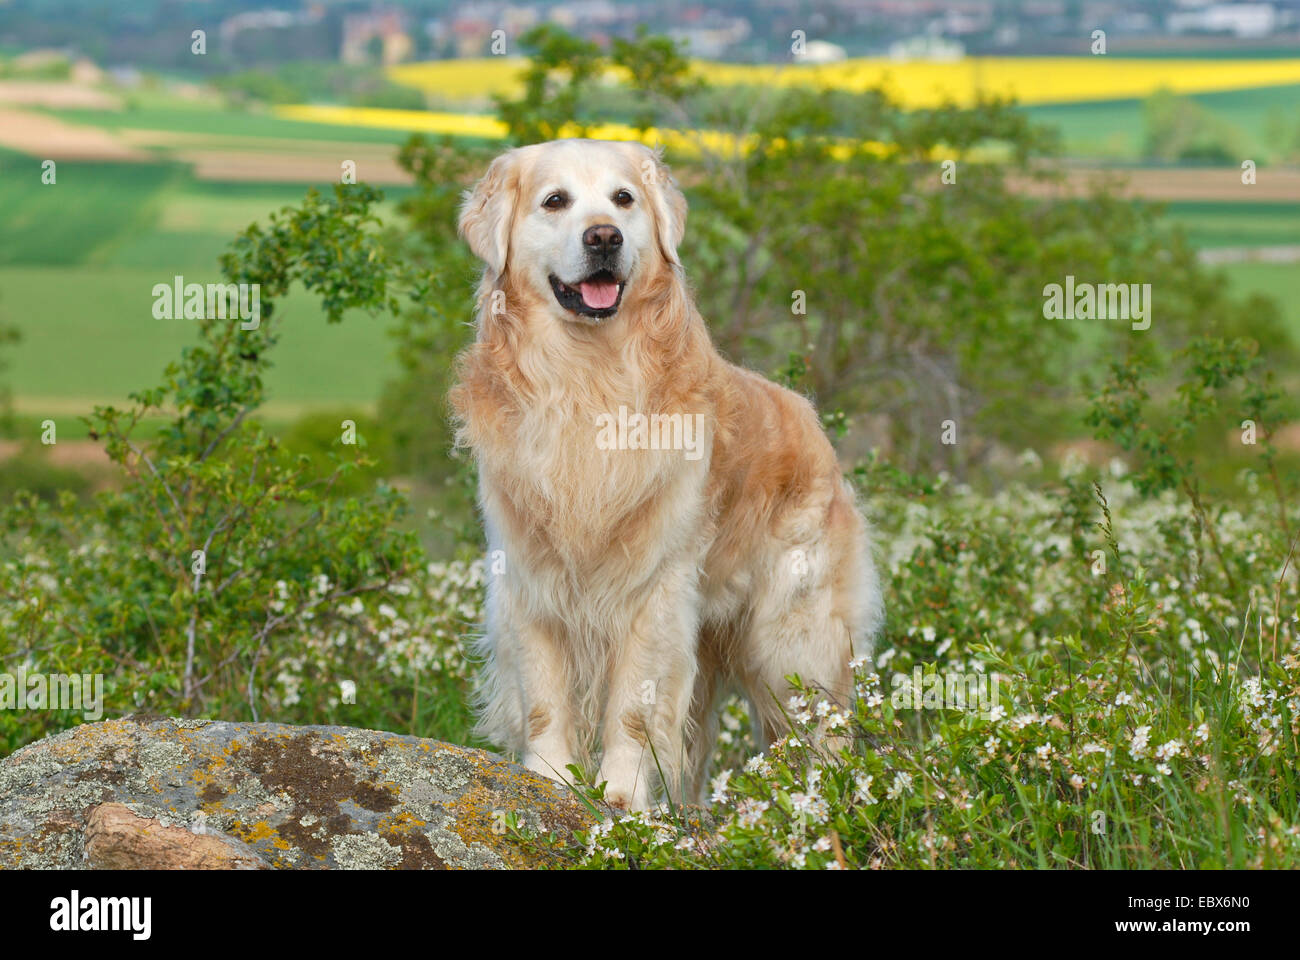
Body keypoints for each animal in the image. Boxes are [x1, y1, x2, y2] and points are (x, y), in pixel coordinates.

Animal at [449, 136, 883, 806]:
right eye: (555, 201)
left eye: (624, 198)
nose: (604, 237)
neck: (587, 380)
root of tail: (810, 417)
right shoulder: (527, 575)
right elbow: (545, 696)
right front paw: (547, 776)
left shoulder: (653, 589)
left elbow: (633, 706)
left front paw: (622, 797)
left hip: (792, 638)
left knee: (823, 729)